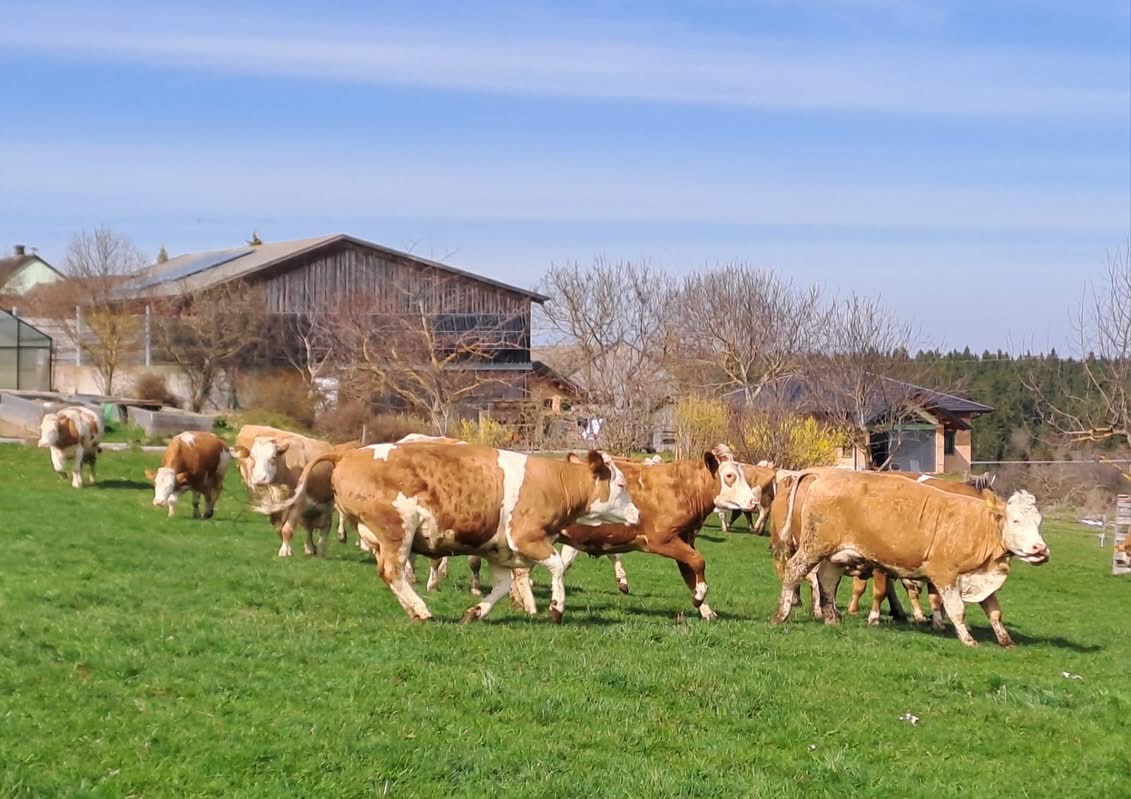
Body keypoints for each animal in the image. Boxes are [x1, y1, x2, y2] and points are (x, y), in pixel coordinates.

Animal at [265, 443, 640, 623]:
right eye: (621, 484)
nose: (637, 514)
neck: (552, 482)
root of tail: (348, 453)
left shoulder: (501, 550)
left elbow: (501, 586)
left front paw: (476, 612)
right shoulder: (527, 536)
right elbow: (558, 566)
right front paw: (557, 608)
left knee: (389, 574)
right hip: (397, 528)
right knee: (392, 571)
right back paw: (422, 610)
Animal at [552, 451, 760, 620]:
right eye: (730, 476)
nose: (754, 502)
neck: (682, 490)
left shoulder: (685, 539)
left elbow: (691, 574)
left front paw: (705, 609)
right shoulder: (661, 540)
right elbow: (699, 562)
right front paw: (699, 597)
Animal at [771, 469, 1048, 647]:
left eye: (1038, 521)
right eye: (1016, 520)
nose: (1040, 549)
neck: (978, 525)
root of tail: (821, 475)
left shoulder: (979, 576)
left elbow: (994, 611)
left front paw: (1005, 640)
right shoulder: (944, 575)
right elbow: (957, 609)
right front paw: (968, 639)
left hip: (835, 555)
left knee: (827, 581)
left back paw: (831, 618)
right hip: (813, 547)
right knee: (794, 571)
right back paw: (781, 615)